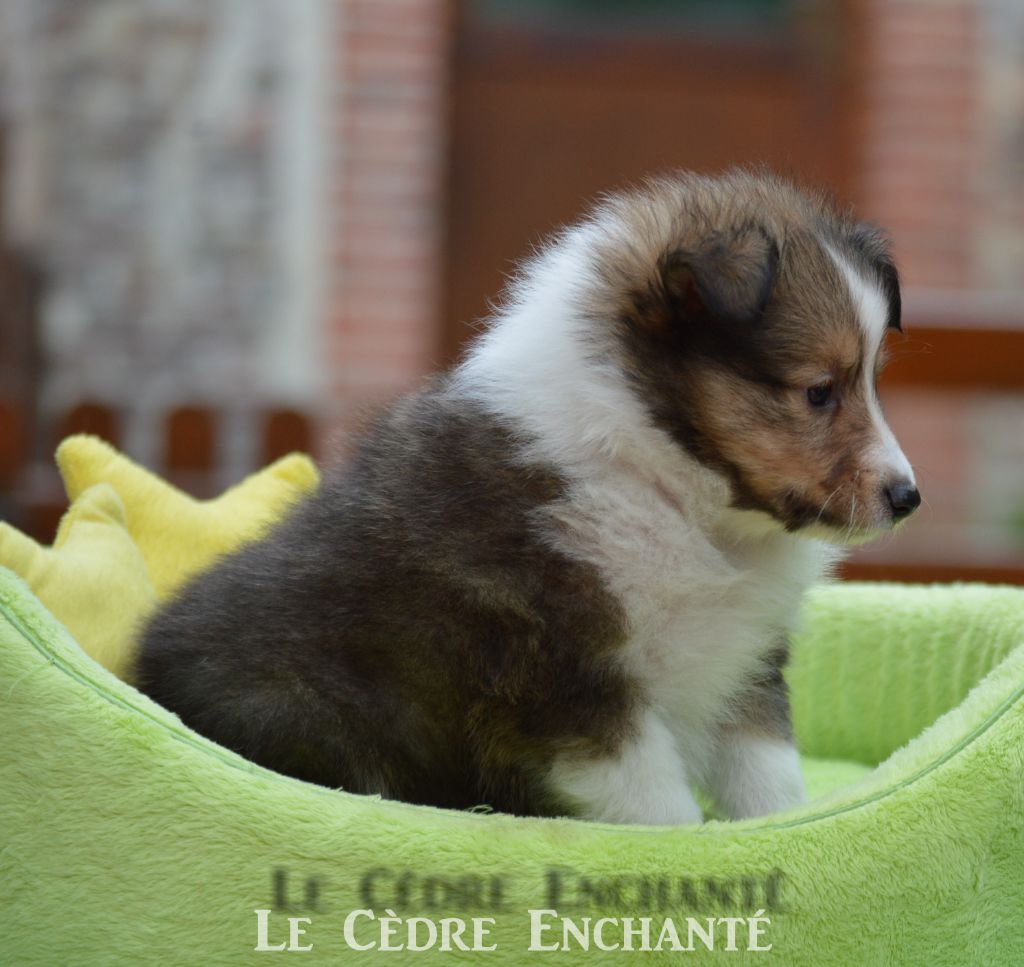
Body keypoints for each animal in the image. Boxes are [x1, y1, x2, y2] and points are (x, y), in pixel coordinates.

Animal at [136, 169, 919, 824]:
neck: (663, 483)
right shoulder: (569, 689)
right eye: (818, 391)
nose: (908, 497)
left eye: (873, 380)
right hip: (312, 712)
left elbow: (772, 784)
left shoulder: (744, 663)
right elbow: (665, 815)